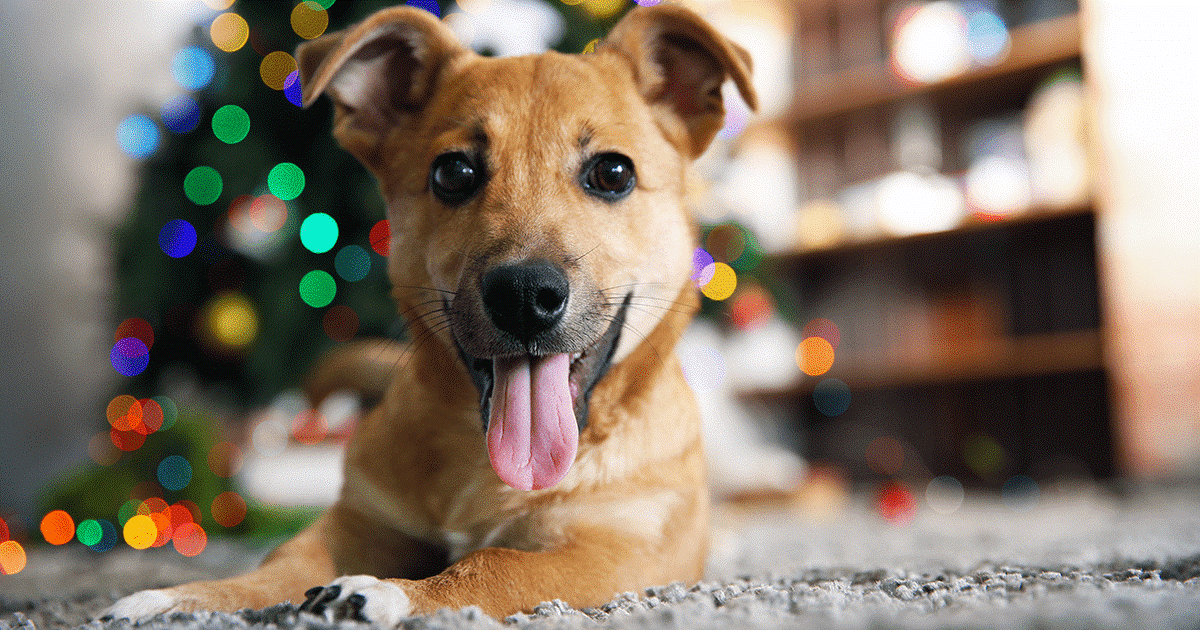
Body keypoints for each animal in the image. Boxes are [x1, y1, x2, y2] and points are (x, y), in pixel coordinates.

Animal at [108, 3, 753, 624]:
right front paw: (177, 599)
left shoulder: (620, 553)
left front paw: (390, 593)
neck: (482, 465)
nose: (524, 295)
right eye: (453, 172)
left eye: (613, 173)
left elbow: (496, 564)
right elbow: (277, 564)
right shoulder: (358, 524)